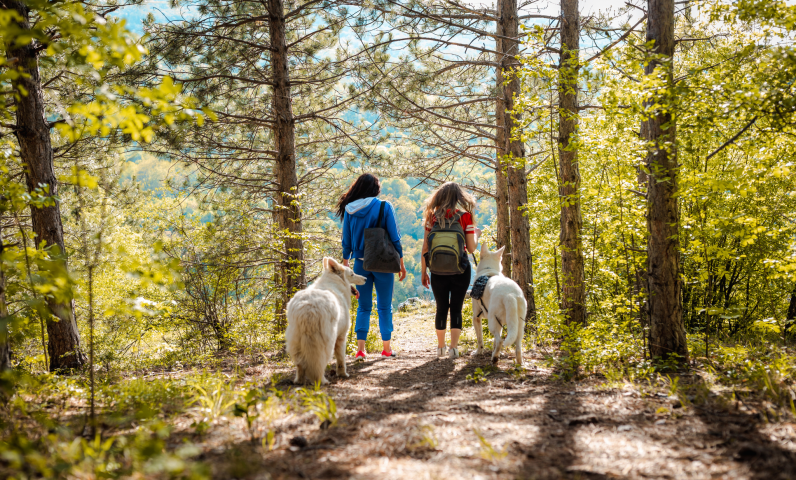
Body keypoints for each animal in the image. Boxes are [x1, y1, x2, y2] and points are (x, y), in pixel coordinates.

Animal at [284, 256, 366, 384]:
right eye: (352, 274)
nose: (366, 279)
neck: (335, 283)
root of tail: (307, 308)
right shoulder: (341, 337)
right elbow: (341, 359)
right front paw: (343, 374)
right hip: (326, 342)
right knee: (319, 362)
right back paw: (322, 381)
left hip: (295, 341)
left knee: (300, 365)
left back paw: (299, 381)